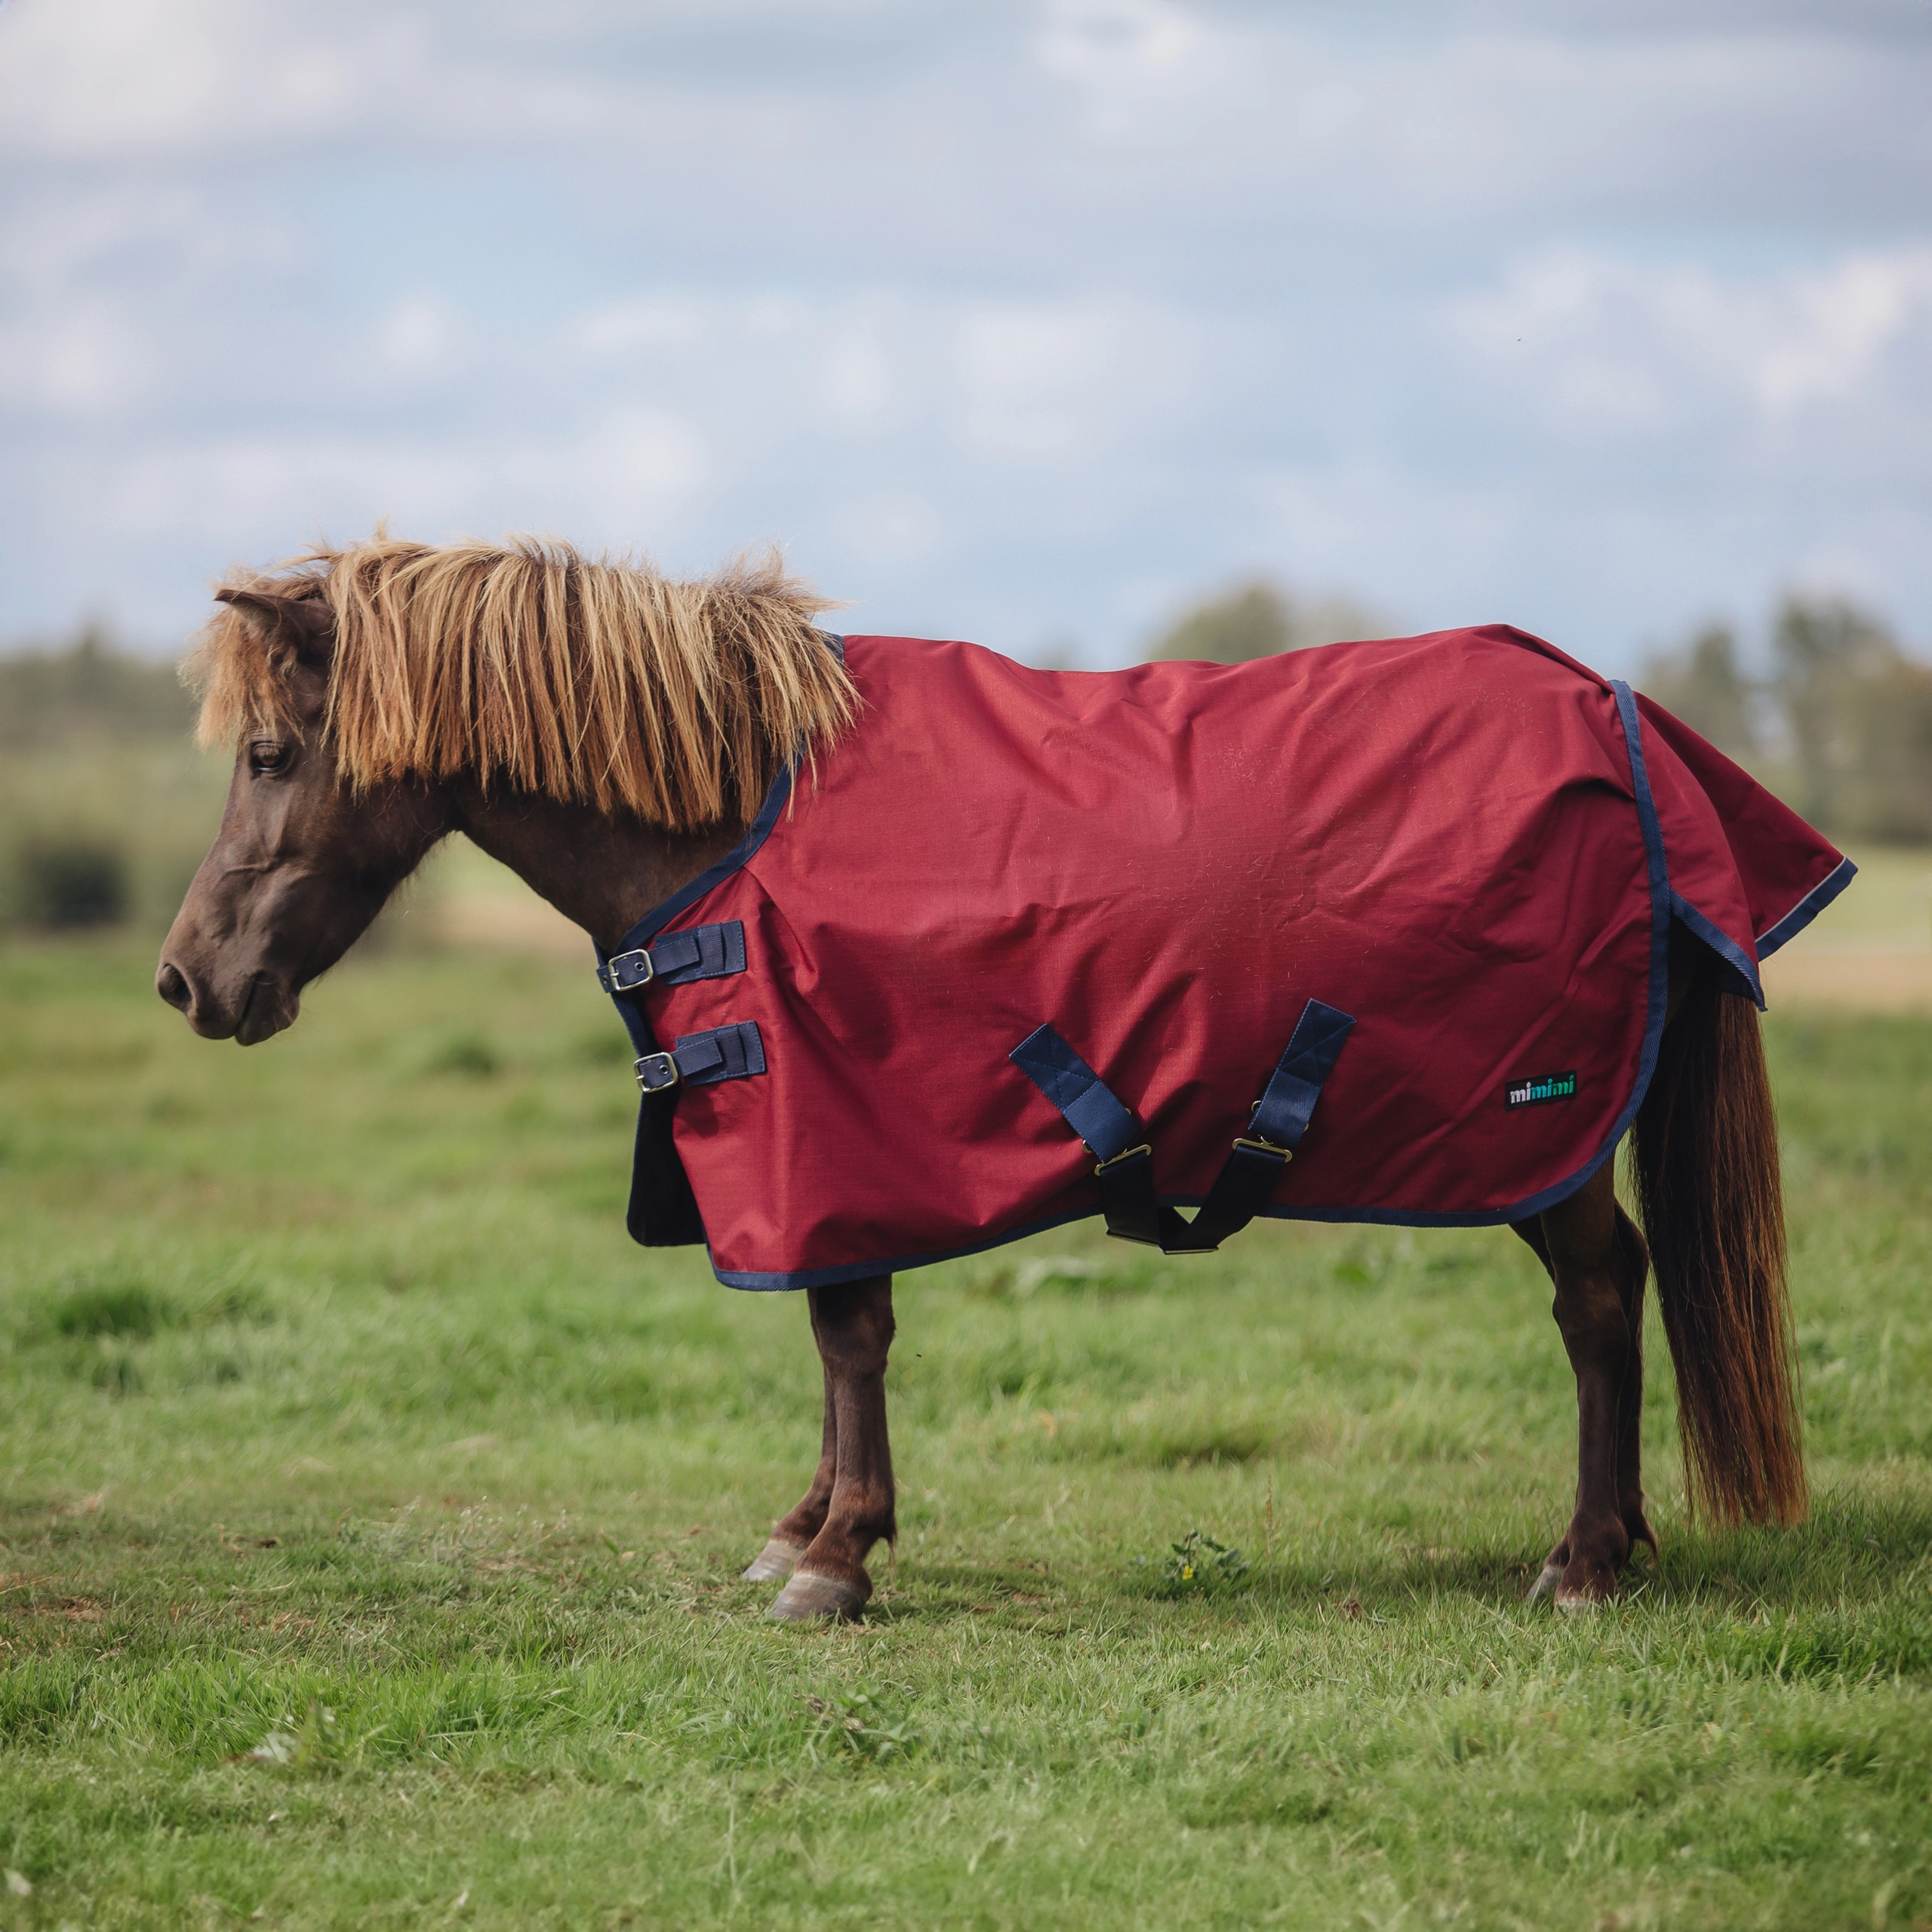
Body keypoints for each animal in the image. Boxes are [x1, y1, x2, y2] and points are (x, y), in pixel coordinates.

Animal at [158, 533, 1832, 1620]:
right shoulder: (836, 1144)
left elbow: (847, 1333)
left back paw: (1583, 1560)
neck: (732, 811)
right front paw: (804, 1533)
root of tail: (1614, 710)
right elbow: (838, 1331)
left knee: (1601, 1295)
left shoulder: (831, 1126)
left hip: (1538, 1136)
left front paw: (834, 1559)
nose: (188, 981)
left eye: (267, 755)